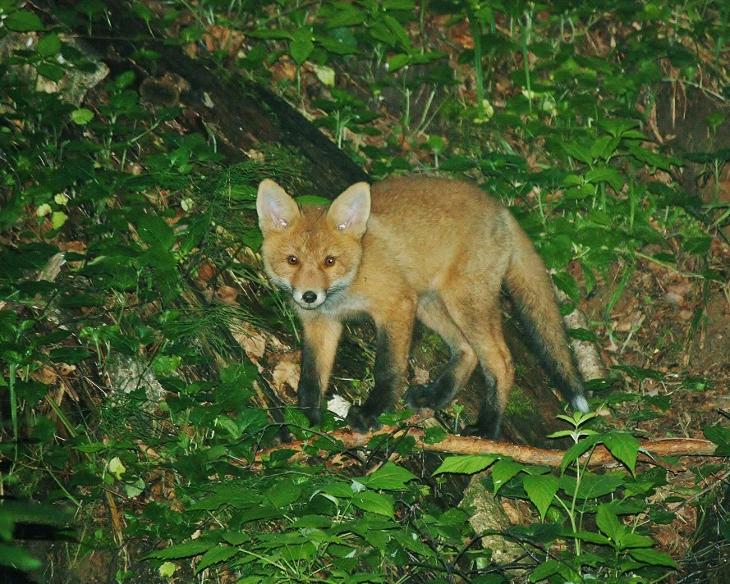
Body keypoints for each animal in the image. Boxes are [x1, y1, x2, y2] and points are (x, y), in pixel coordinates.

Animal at [256, 178, 584, 438]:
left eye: (329, 261)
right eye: (293, 260)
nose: (309, 296)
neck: (353, 277)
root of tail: (500, 208)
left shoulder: (397, 304)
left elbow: (388, 369)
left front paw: (372, 413)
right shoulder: (321, 324)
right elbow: (310, 380)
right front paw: (305, 424)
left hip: (462, 302)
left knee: (502, 362)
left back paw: (488, 428)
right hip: (431, 305)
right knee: (467, 350)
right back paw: (435, 397)